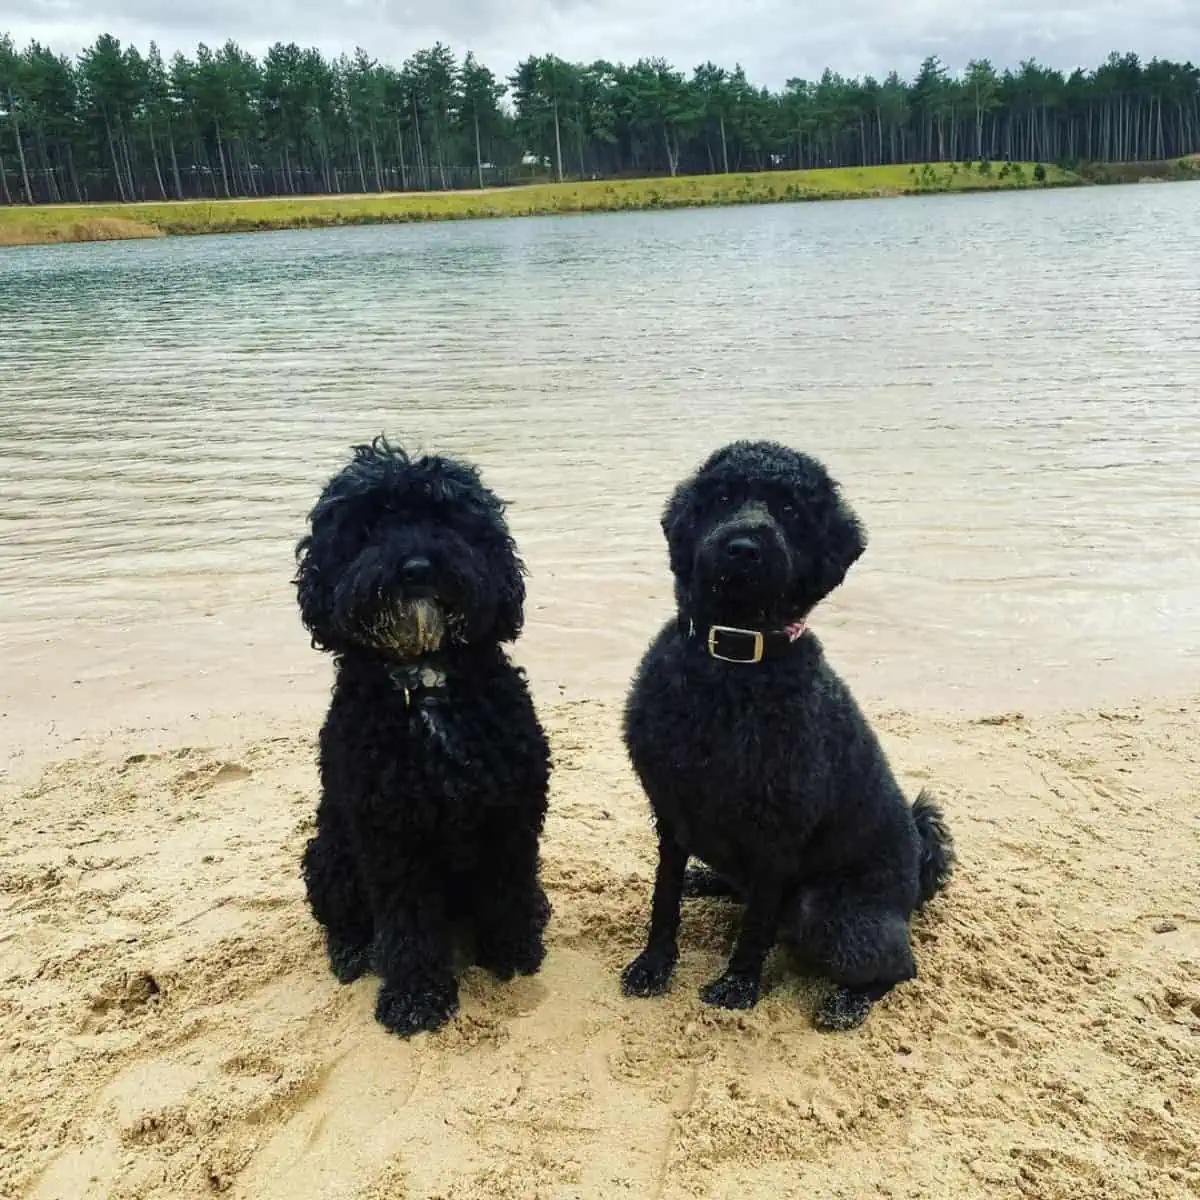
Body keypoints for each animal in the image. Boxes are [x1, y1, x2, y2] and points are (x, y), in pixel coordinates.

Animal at [297, 436, 549, 1036]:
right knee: (344, 919)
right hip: (330, 852)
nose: (415, 568)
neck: (426, 681)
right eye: (369, 525)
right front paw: (415, 998)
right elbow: (408, 925)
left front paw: (513, 953)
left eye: (445, 517)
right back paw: (352, 954)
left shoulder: (510, 817)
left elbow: (509, 889)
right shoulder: (392, 837)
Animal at [619, 441, 955, 1032]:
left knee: (898, 966)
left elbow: (756, 923)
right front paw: (654, 964)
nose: (744, 547)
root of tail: (918, 873)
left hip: (825, 909)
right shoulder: (672, 810)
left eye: (792, 511)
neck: (730, 666)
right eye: (723, 498)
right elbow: (664, 898)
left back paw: (848, 1003)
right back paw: (706, 880)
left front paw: (738, 985)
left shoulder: (777, 833)